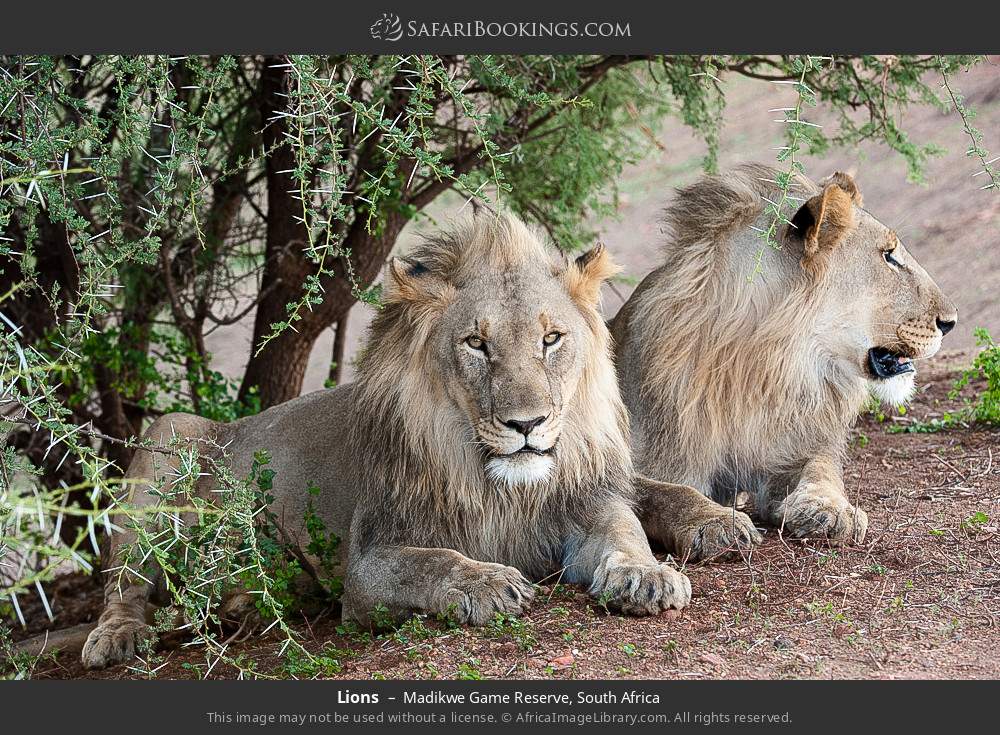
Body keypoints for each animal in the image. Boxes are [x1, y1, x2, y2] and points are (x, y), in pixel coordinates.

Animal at [81, 214, 712, 670]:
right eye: (476, 344)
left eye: (551, 338)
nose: (526, 424)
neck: (502, 486)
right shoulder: (367, 565)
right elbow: (432, 561)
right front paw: (486, 581)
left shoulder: (587, 499)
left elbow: (626, 528)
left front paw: (648, 573)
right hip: (169, 432)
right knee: (123, 583)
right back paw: (116, 638)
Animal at [610, 164, 958, 545]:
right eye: (889, 255)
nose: (950, 322)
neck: (763, 369)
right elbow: (659, 491)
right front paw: (713, 520)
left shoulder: (791, 448)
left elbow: (823, 469)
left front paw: (831, 509)